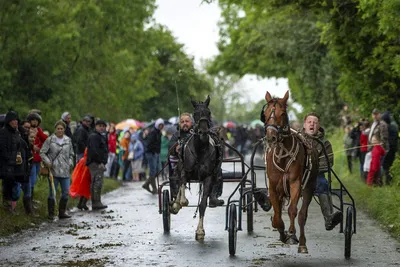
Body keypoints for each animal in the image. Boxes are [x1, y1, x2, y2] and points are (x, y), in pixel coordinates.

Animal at [170, 96, 223, 241]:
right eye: (195, 114)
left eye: (208, 113)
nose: (203, 132)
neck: (200, 150)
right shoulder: (185, 171)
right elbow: (182, 193)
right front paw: (179, 203)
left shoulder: (208, 177)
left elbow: (203, 205)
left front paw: (200, 231)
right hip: (178, 167)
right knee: (178, 185)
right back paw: (175, 204)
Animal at [262, 91, 318, 254]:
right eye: (265, 113)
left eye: (282, 113)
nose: (271, 136)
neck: (282, 154)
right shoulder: (273, 186)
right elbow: (277, 215)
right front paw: (280, 230)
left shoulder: (295, 183)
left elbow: (293, 210)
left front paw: (292, 234)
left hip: (309, 186)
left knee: (302, 214)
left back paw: (302, 243)